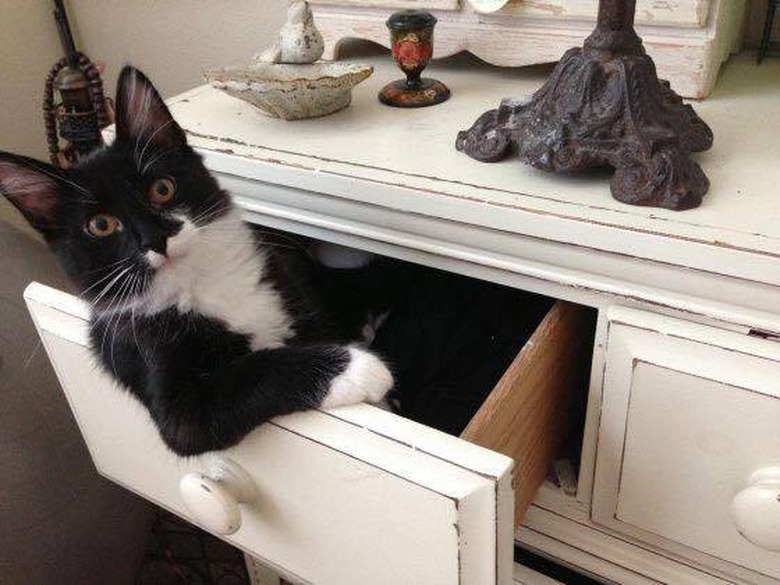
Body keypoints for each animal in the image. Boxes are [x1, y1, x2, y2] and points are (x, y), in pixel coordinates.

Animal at [1, 65, 396, 456]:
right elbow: (247, 373)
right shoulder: (176, 404)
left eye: (162, 188)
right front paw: (357, 368)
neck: (200, 283)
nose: (156, 238)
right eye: (100, 225)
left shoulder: (292, 295)